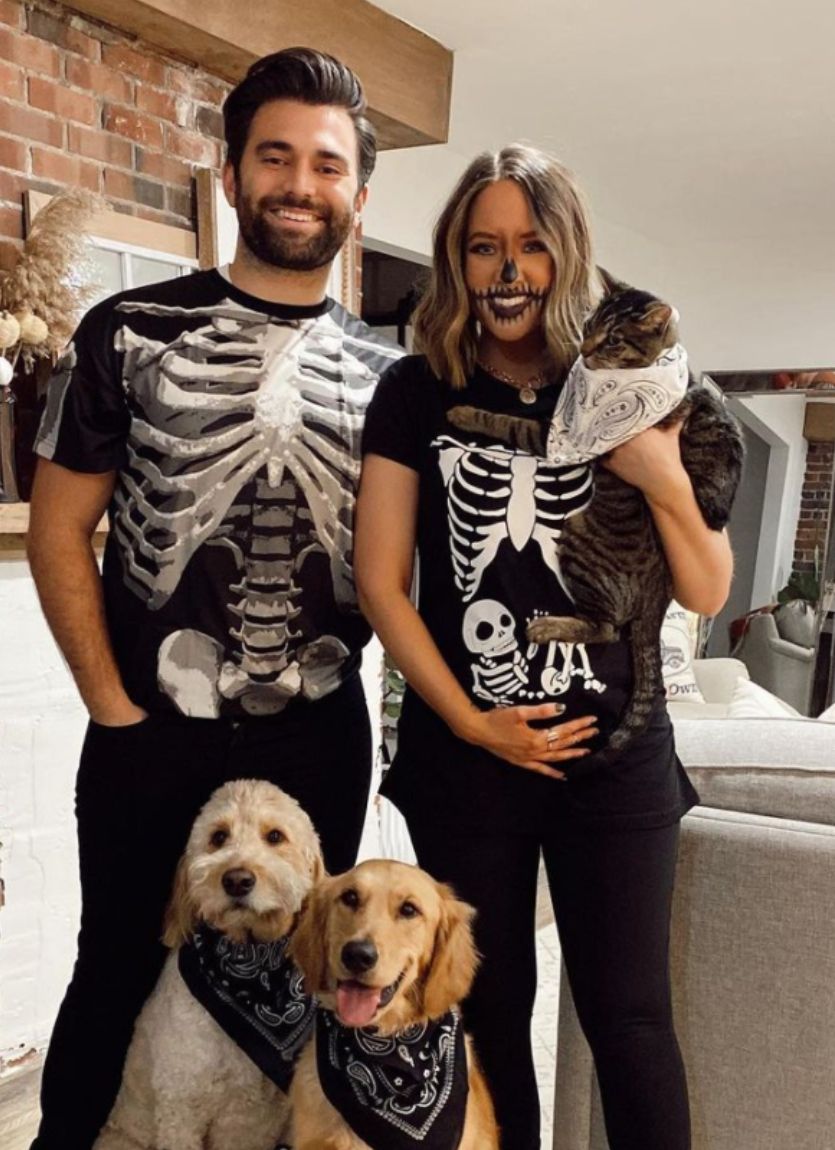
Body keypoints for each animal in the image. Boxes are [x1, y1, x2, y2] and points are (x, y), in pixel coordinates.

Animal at [448, 274, 740, 768]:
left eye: (615, 339)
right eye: (588, 325)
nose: (583, 351)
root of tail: (658, 599)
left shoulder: (553, 437)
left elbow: (507, 420)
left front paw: (464, 412)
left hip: (577, 538)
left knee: (605, 627)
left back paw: (547, 626)